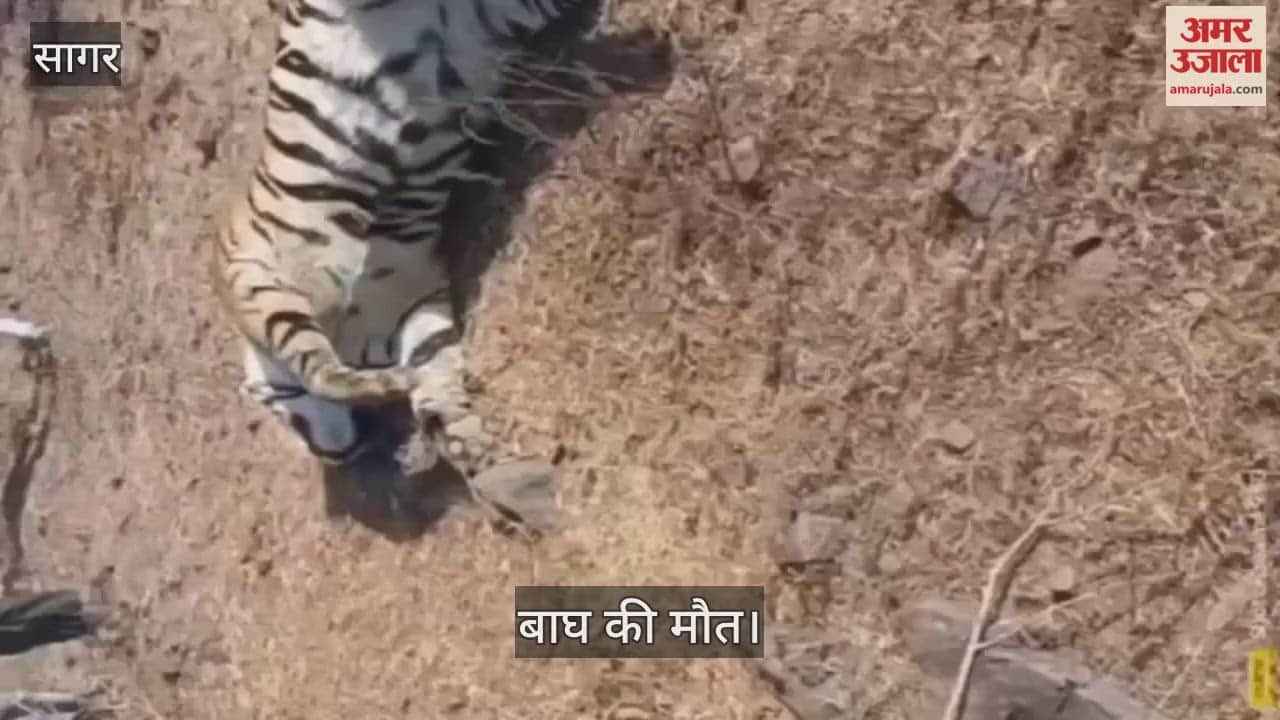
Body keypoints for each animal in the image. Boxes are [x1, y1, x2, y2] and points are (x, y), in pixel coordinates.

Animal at [211, 0, 603, 474]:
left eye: (283, 416)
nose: (332, 456)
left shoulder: (251, 280)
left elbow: (318, 369)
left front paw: (392, 390)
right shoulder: (415, 305)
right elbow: (436, 371)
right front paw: (464, 441)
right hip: (483, 24)